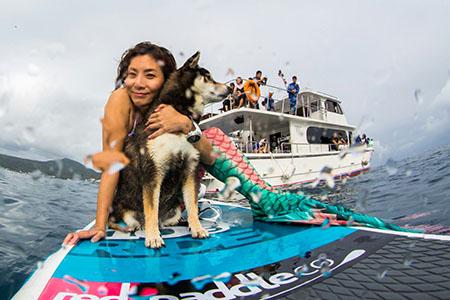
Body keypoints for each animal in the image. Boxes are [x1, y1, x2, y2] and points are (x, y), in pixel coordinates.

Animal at [108, 52, 229, 248]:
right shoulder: (153, 172)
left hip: (176, 207)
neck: (178, 111)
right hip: (127, 210)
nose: (231, 87)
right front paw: (153, 237)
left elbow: (192, 206)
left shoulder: (190, 169)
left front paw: (197, 228)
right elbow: (151, 209)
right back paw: (143, 227)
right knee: (140, 219)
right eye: (208, 76)